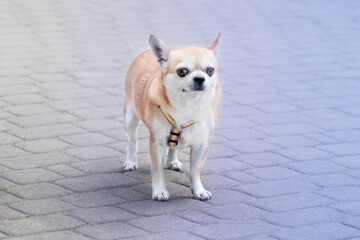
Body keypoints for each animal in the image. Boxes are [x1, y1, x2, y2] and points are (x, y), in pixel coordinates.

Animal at [122, 33, 221, 202]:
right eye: (182, 71)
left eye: (210, 70)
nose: (200, 78)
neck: (188, 105)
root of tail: (147, 52)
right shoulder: (157, 143)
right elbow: (158, 171)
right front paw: (160, 191)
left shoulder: (201, 144)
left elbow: (195, 171)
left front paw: (198, 190)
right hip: (130, 116)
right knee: (132, 140)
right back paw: (130, 161)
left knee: (173, 144)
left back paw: (172, 161)